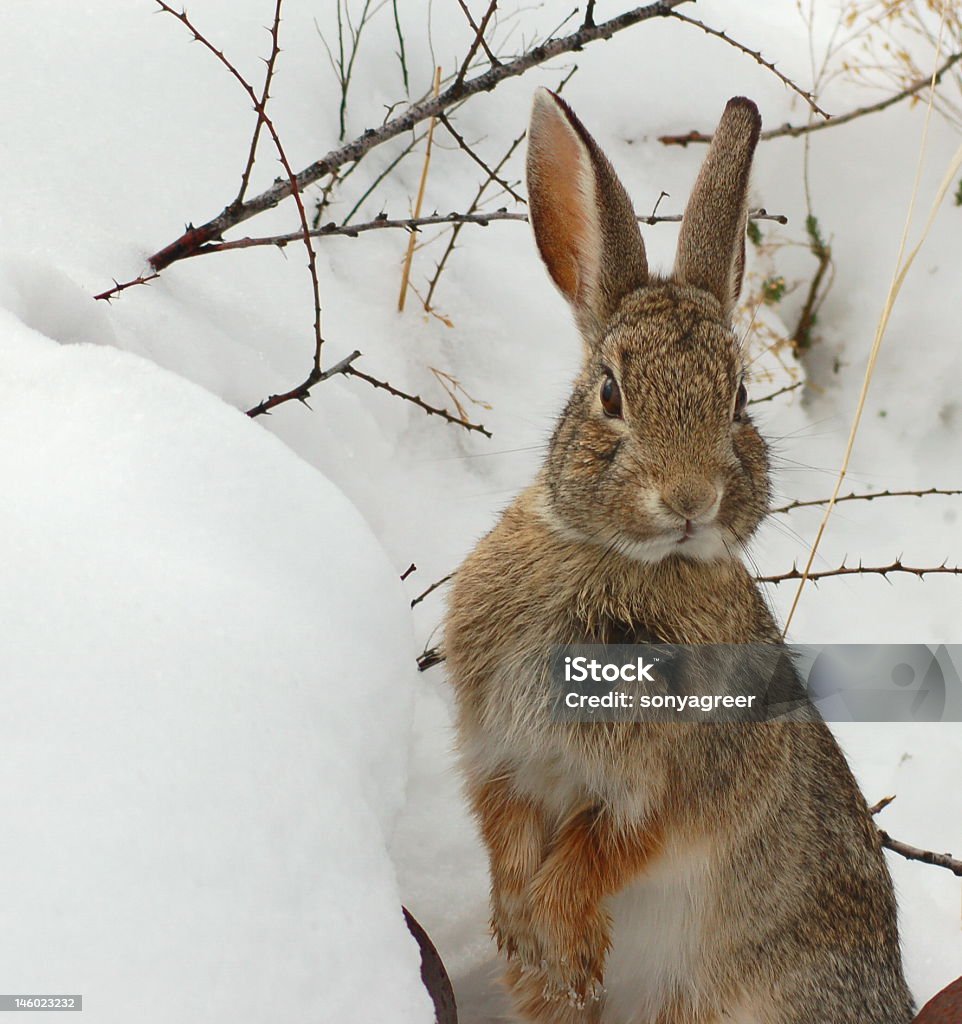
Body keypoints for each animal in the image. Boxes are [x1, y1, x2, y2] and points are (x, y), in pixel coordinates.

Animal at [446, 90, 913, 1024]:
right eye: (610, 393)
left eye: (740, 400)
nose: (690, 499)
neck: (624, 563)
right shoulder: (499, 755)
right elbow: (505, 831)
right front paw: (522, 932)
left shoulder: (676, 789)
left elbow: (609, 851)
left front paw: (562, 939)